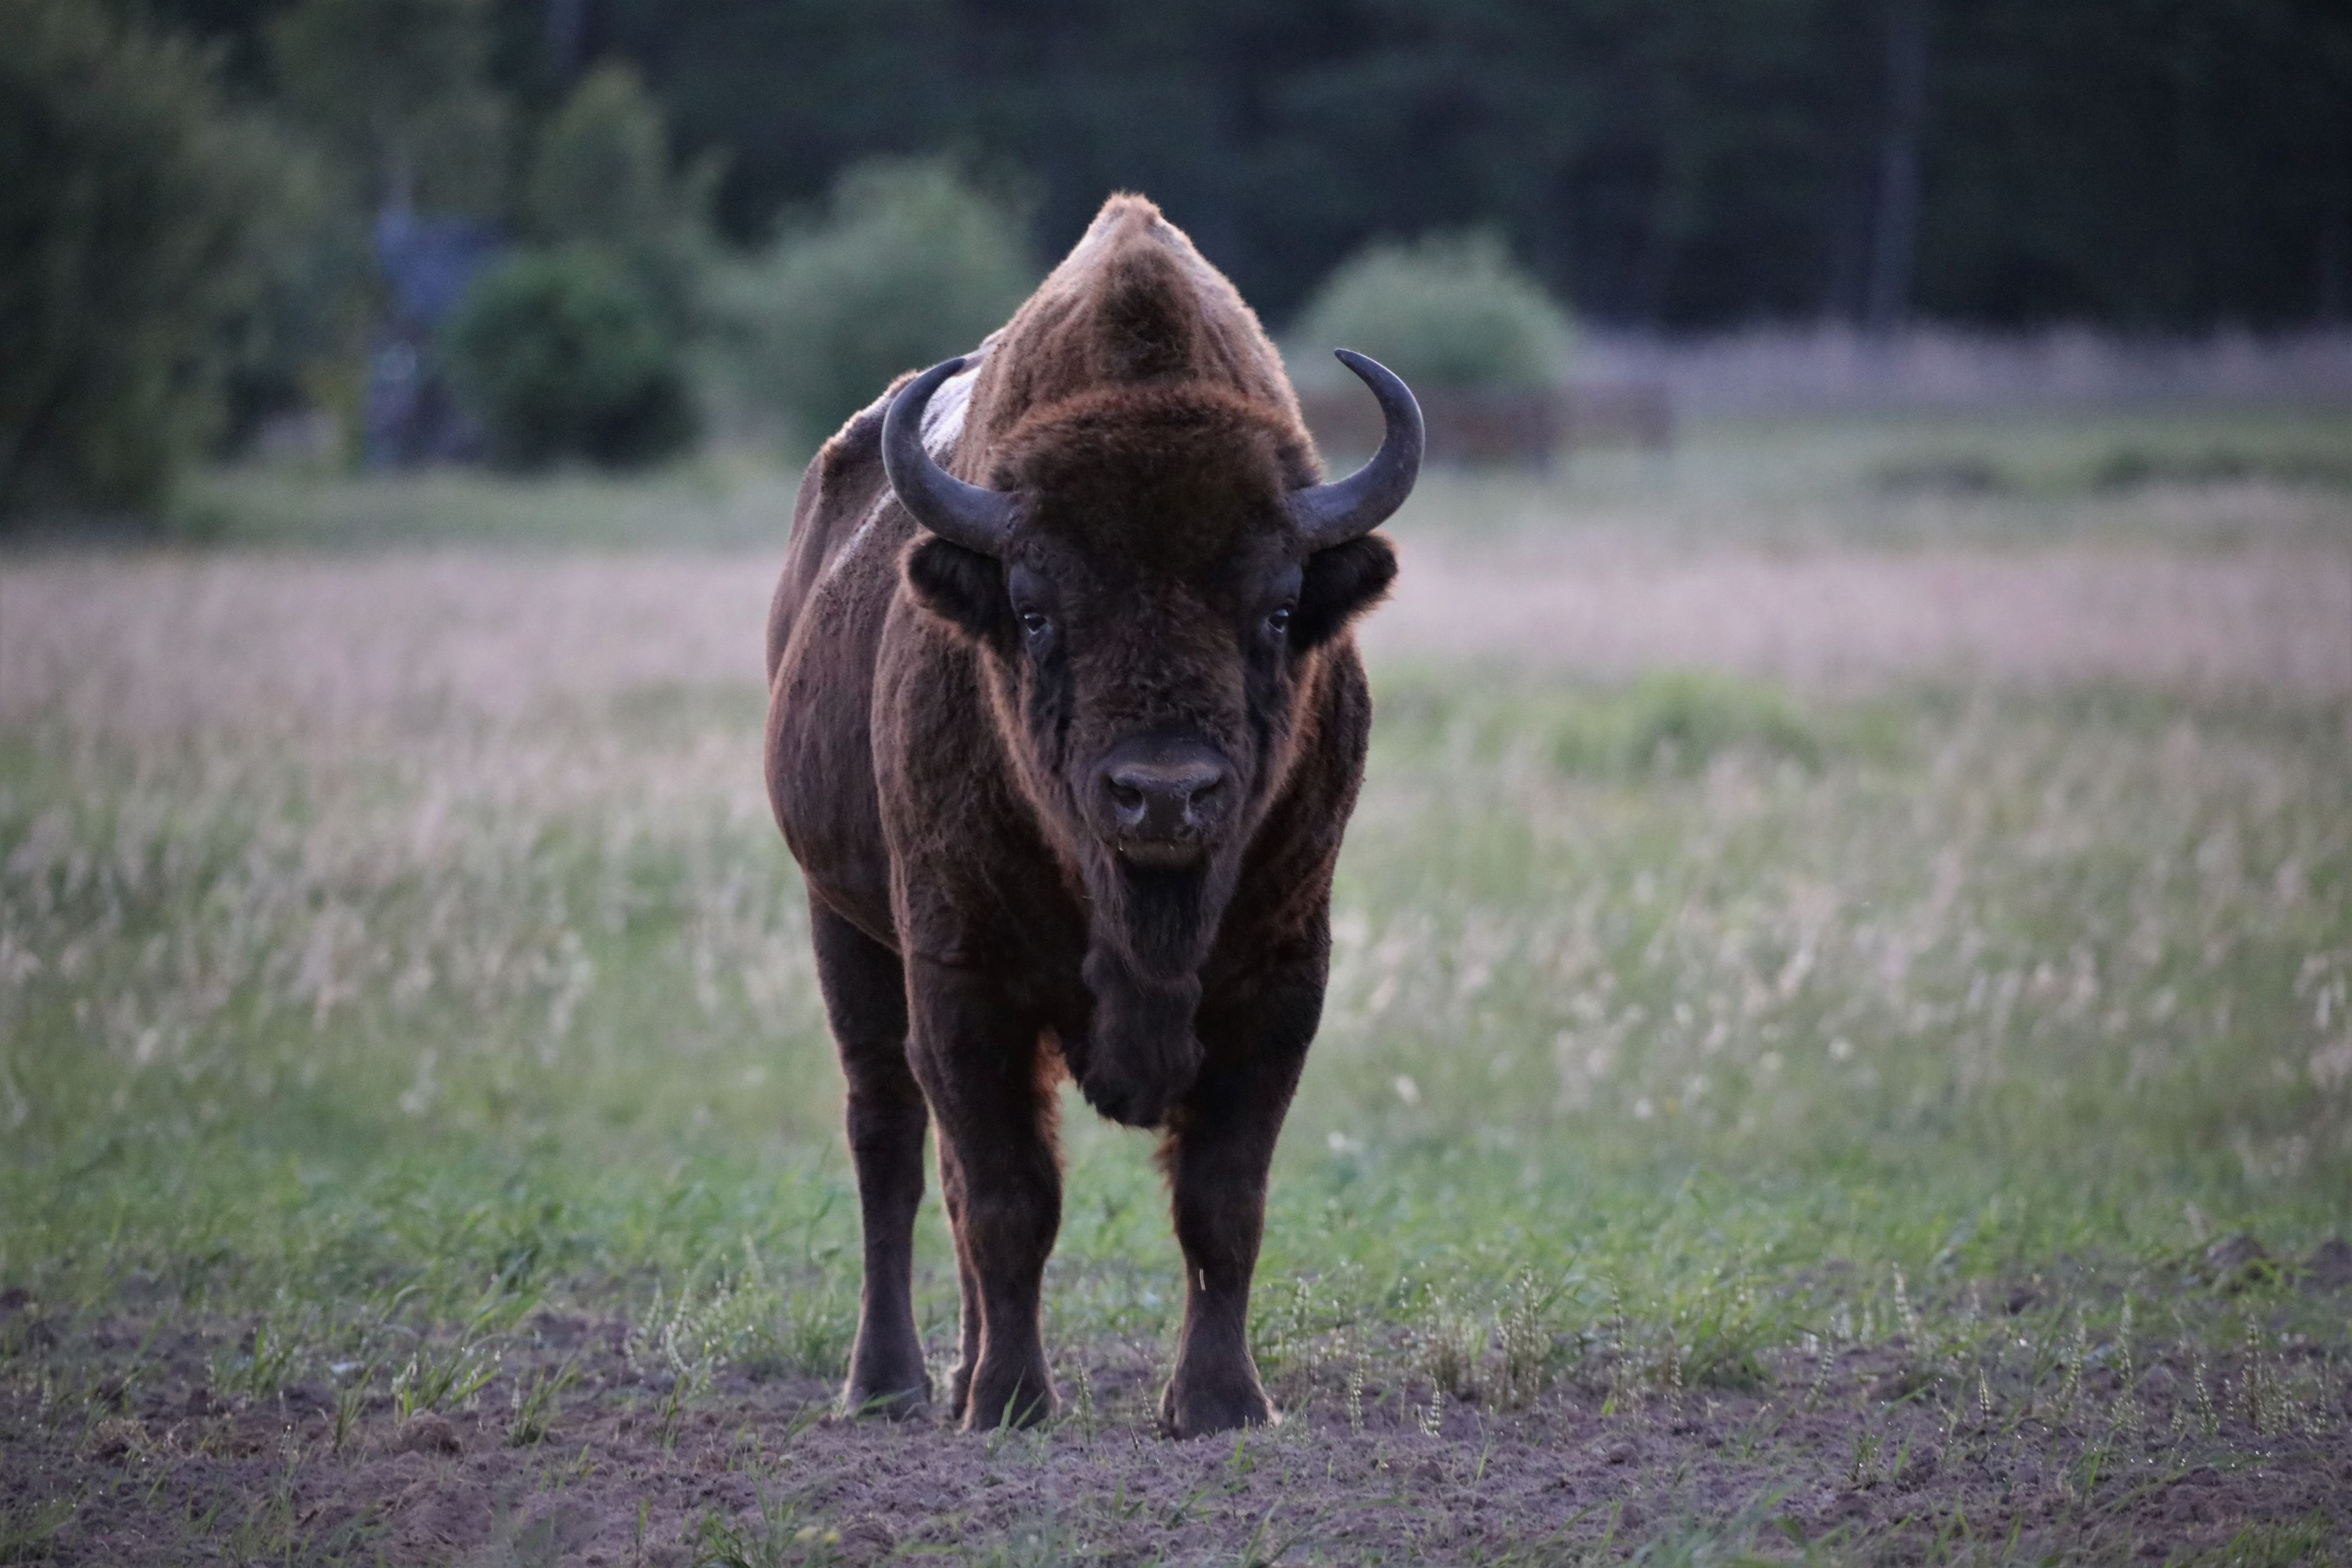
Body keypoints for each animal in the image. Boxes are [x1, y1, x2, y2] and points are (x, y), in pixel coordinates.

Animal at [763, 194, 1421, 1436]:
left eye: (1277, 608)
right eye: (1034, 609)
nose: (1163, 793)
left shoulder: (1283, 980)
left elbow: (1223, 1199)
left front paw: (1219, 1405)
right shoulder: (960, 978)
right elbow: (1007, 1199)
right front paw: (1015, 1404)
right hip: (846, 931)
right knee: (891, 1144)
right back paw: (892, 1386)